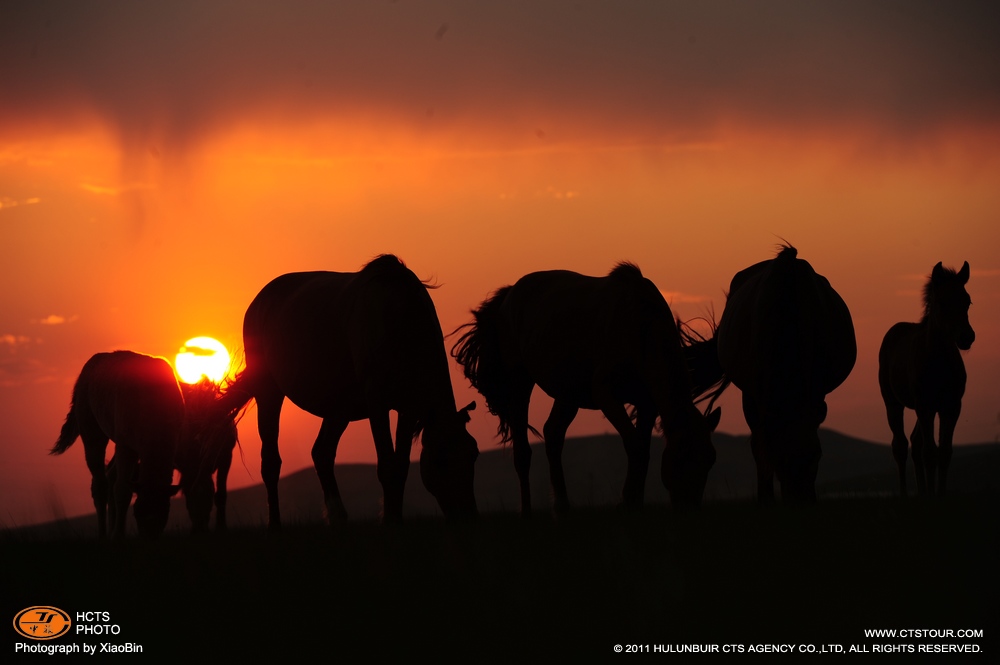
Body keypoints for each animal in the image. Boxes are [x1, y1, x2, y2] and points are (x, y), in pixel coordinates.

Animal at [51, 350, 218, 536]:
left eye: (163, 514)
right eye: (138, 513)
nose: (149, 535)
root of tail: (88, 369)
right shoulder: (126, 446)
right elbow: (122, 490)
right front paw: (118, 535)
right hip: (92, 433)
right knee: (100, 483)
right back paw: (104, 533)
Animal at [218, 252, 480, 528]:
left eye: (473, 453)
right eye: (441, 459)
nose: (469, 517)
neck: (398, 318)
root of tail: (258, 301)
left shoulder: (407, 408)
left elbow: (400, 466)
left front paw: (395, 518)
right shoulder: (377, 403)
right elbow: (387, 465)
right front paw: (390, 521)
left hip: (338, 409)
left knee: (322, 453)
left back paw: (338, 516)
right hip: (269, 392)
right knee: (271, 462)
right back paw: (276, 524)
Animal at [452, 262, 720, 510]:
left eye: (710, 460)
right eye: (682, 455)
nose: (689, 507)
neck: (640, 326)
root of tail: (508, 295)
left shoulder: (647, 404)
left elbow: (643, 451)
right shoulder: (606, 395)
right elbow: (635, 447)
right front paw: (627, 502)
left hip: (568, 393)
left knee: (553, 433)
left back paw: (563, 508)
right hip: (520, 381)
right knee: (523, 453)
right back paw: (527, 511)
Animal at [880, 262, 972, 496]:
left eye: (967, 300)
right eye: (942, 302)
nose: (966, 337)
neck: (939, 362)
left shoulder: (951, 406)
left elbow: (944, 452)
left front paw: (938, 494)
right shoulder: (926, 406)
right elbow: (930, 453)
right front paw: (932, 496)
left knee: (915, 442)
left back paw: (922, 492)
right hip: (893, 403)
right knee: (901, 445)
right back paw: (905, 493)